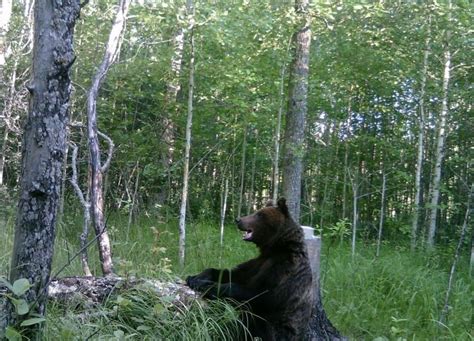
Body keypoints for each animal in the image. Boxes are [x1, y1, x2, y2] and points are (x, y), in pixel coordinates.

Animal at [186, 198, 314, 338]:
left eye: (259, 215)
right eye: (256, 212)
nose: (238, 219)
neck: (275, 248)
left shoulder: (284, 269)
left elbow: (263, 295)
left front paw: (207, 286)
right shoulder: (258, 263)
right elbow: (234, 273)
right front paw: (195, 278)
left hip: (275, 329)